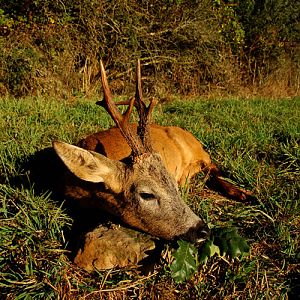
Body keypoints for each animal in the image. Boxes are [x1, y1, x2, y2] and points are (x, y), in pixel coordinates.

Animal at [53, 59, 248, 243]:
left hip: (197, 150)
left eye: (173, 185)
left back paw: (241, 193)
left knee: (212, 166)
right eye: (146, 195)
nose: (203, 231)